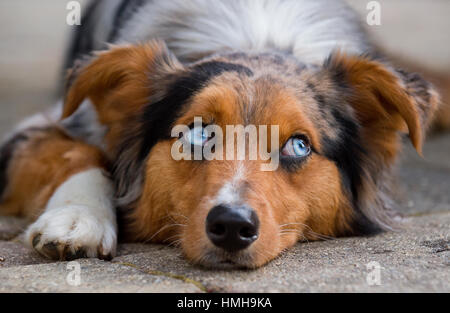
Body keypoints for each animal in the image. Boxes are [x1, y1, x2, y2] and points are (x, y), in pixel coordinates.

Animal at [0, 0, 440, 268]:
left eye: (298, 145)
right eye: (197, 135)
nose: (231, 225)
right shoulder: (44, 124)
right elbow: (80, 155)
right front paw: (77, 219)